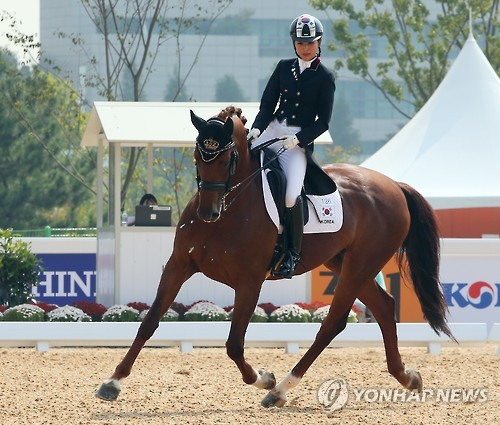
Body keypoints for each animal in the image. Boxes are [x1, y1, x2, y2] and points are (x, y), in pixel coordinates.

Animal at [95, 104, 456, 406]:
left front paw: (263, 378)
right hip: (344, 262)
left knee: (333, 322)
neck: (231, 207)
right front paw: (112, 382)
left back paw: (280, 389)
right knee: (382, 305)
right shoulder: (179, 265)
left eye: (226, 161)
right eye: (197, 157)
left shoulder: (250, 281)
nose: (208, 213)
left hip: (361, 263)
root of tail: (394, 186)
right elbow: (149, 322)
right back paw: (407, 377)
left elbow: (234, 343)